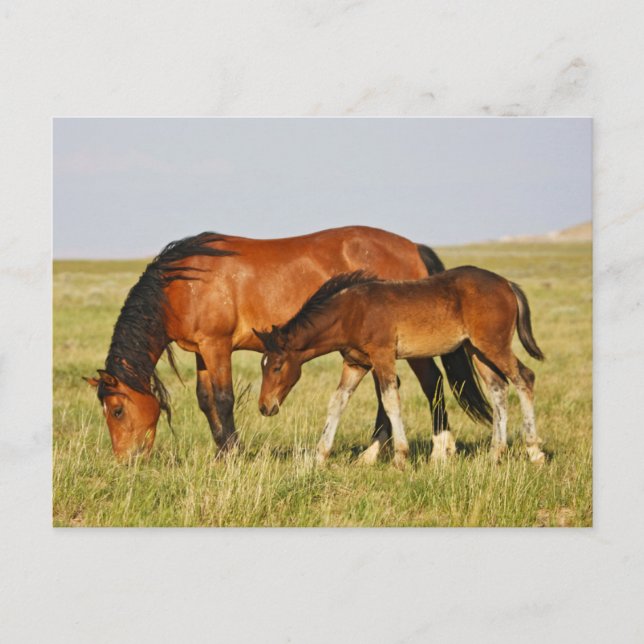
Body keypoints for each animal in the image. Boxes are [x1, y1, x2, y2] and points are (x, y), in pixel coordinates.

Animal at [84, 226, 491, 460]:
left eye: (117, 411)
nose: (126, 461)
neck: (183, 284)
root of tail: (412, 247)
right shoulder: (202, 351)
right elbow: (205, 401)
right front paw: (221, 453)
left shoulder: (217, 346)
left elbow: (223, 399)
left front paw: (233, 456)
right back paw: (372, 454)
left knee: (430, 383)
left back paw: (441, 450)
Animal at [254, 268, 545, 468]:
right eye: (263, 366)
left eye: (277, 367)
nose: (265, 407)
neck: (352, 312)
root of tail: (506, 284)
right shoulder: (355, 363)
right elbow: (337, 402)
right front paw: (319, 456)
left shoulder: (383, 356)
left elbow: (390, 400)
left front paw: (400, 457)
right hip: (477, 350)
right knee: (498, 389)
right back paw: (495, 453)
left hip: (494, 345)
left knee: (525, 378)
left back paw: (534, 451)